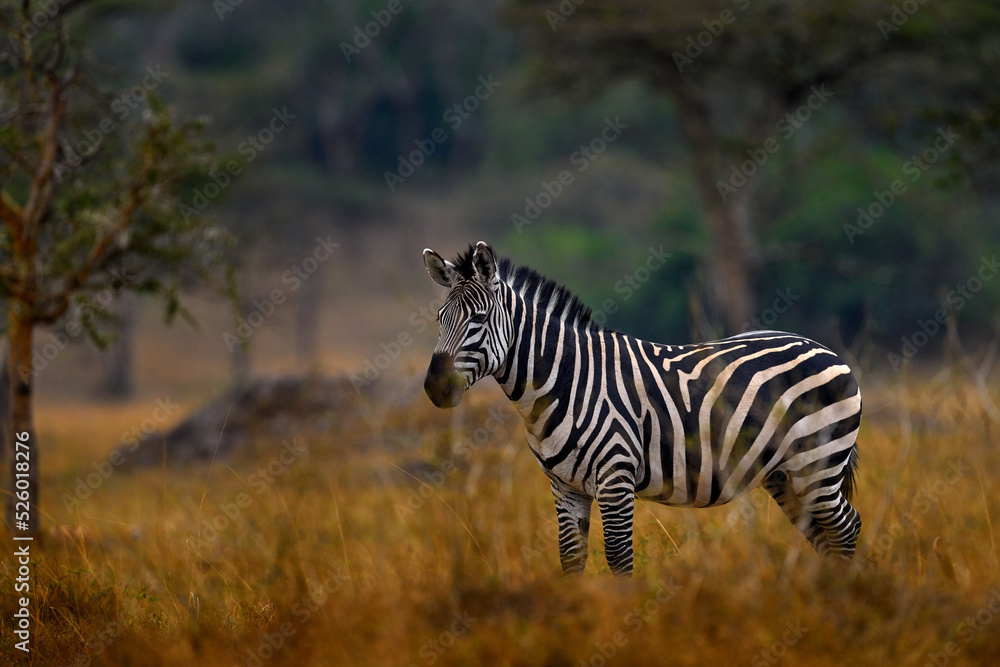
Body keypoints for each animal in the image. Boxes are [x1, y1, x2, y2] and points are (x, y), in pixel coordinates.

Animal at [421, 241, 861, 576]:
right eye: (440, 319)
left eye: (479, 319)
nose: (434, 388)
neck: (563, 382)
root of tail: (823, 348)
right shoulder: (565, 488)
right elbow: (571, 562)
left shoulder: (616, 479)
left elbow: (620, 562)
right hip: (785, 476)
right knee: (825, 537)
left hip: (818, 465)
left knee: (847, 529)